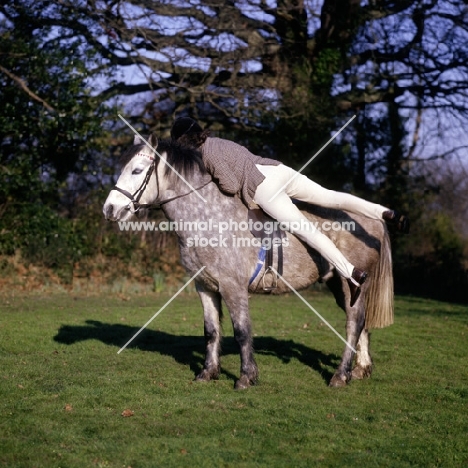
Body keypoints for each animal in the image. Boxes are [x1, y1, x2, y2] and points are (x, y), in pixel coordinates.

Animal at [104, 134, 394, 388]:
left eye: (137, 170)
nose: (109, 209)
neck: (210, 217)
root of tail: (373, 224)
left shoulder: (233, 288)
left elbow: (242, 331)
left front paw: (246, 377)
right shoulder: (205, 286)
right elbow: (211, 331)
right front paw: (208, 373)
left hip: (348, 284)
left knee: (354, 323)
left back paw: (340, 375)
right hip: (338, 285)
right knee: (361, 324)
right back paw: (360, 369)